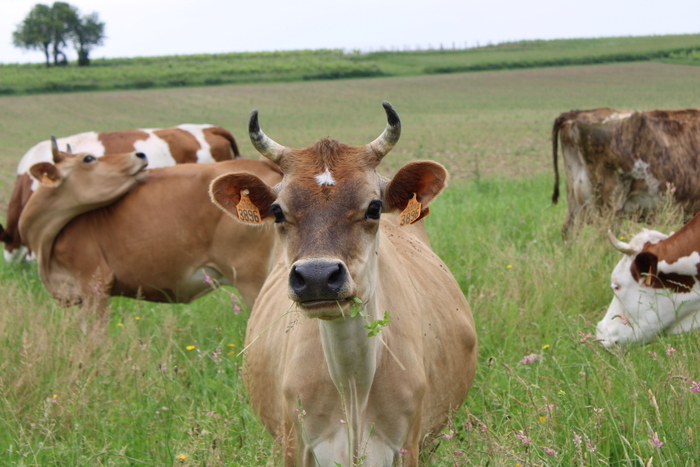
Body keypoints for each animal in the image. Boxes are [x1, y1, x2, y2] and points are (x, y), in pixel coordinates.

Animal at [209, 102, 477, 466]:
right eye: (277, 211)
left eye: (374, 207)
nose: (317, 276)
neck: (352, 387)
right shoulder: (294, 444)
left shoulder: (409, 445)